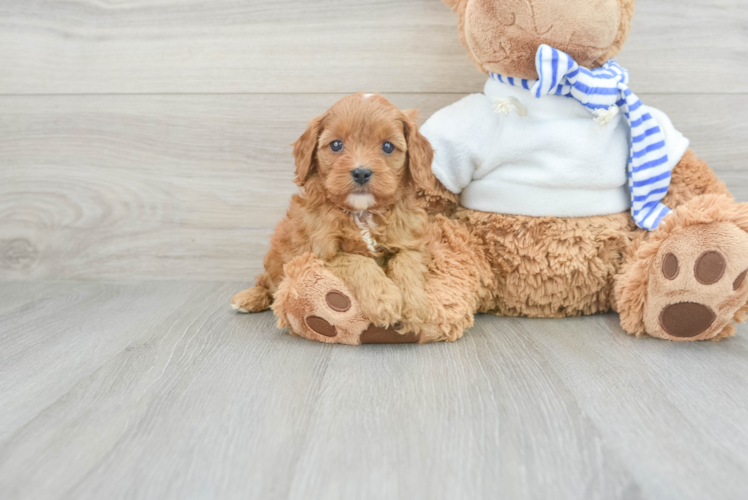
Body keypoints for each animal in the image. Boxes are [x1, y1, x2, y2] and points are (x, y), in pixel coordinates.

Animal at [231, 94, 436, 336]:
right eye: (336, 145)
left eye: (387, 146)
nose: (361, 172)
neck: (363, 213)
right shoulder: (319, 253)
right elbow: (358, 261)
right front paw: (383, 299)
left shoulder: (409, 242)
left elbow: (407, 264)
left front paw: (414, 306)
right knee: (267, 284)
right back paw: (248, 298)